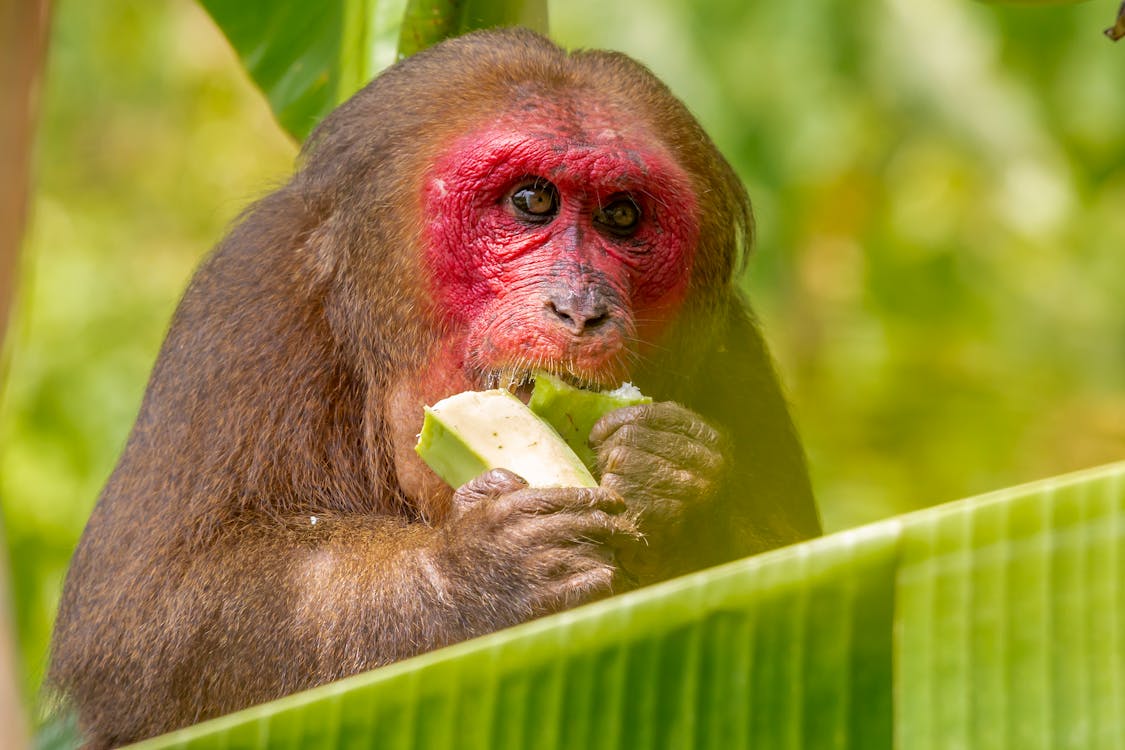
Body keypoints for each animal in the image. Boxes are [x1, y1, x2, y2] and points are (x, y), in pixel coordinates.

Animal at [48, 26, 823, 746]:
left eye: (623, 216)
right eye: (532, 200)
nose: (581, 306)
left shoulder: (731, 345)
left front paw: (675, 482)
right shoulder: (249, 291)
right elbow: (151, 613)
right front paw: (475, 571)